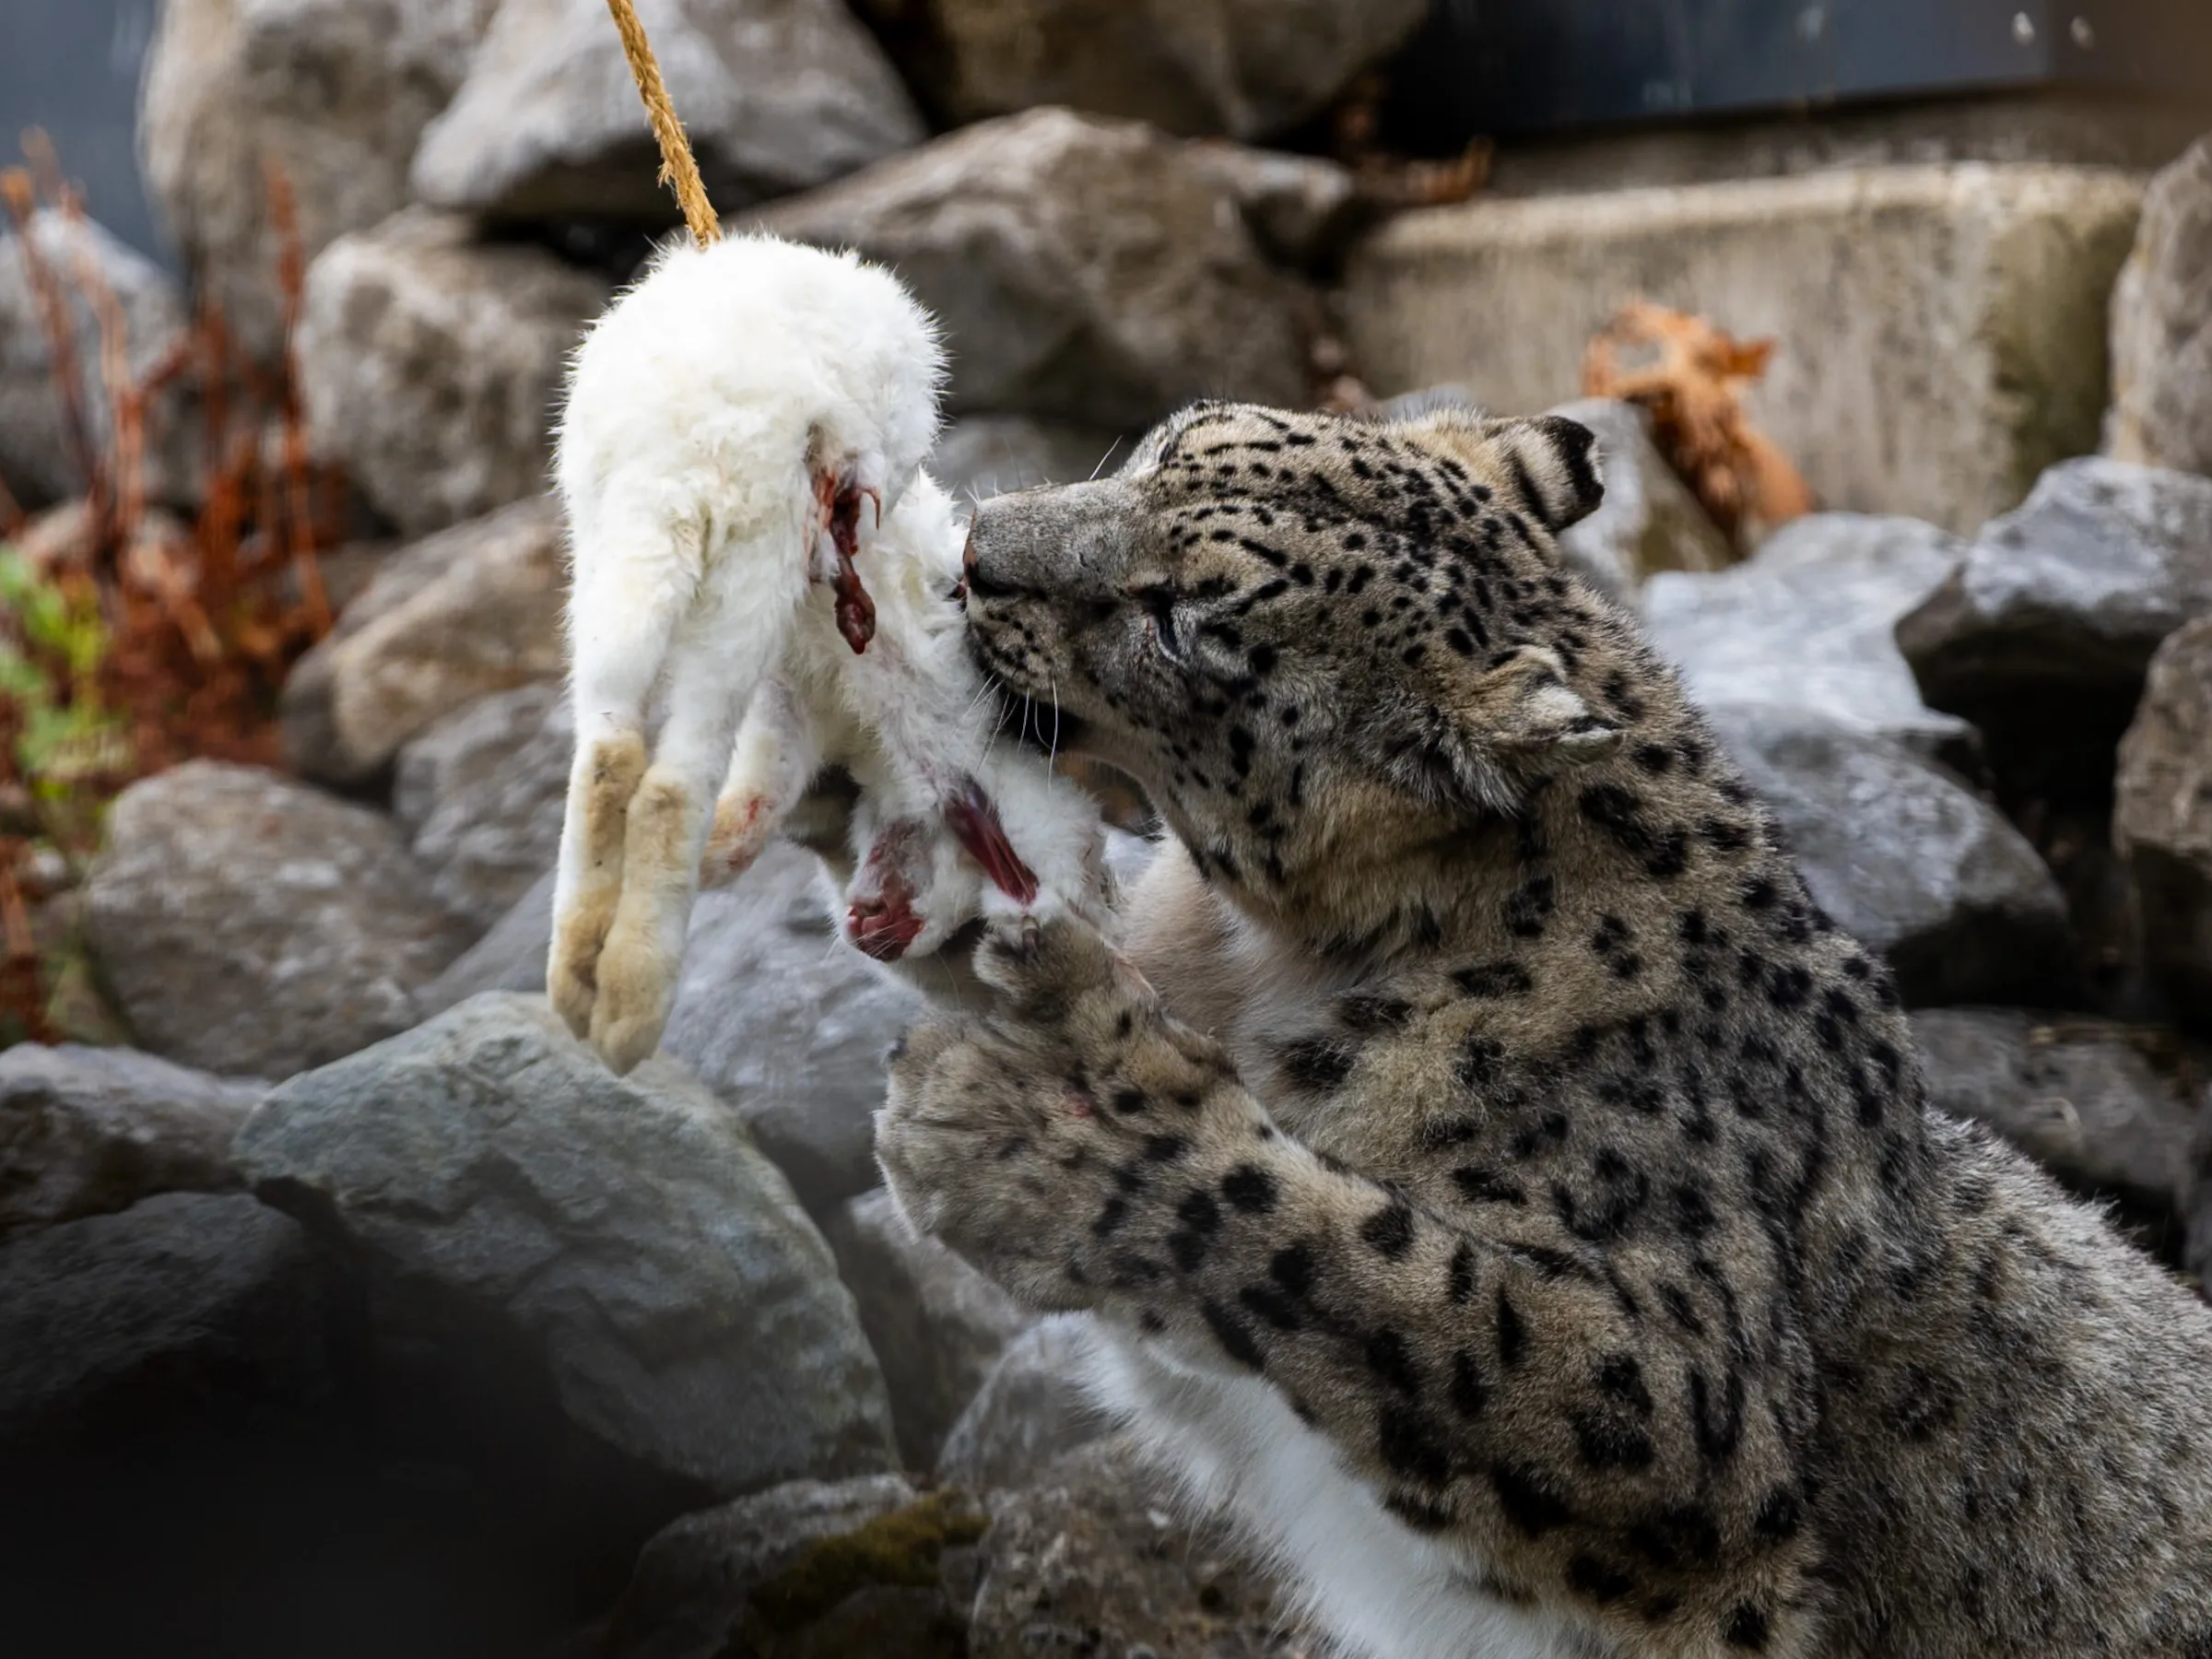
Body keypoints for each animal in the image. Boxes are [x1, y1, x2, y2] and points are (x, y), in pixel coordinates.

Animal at [874, 397, 2212, 1659]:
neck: (1250, 967)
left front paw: (1050, 1119)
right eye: (1167, 444)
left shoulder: (1679, 1415)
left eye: (1179, 621)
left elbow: (1395, 1276)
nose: (978, 554)